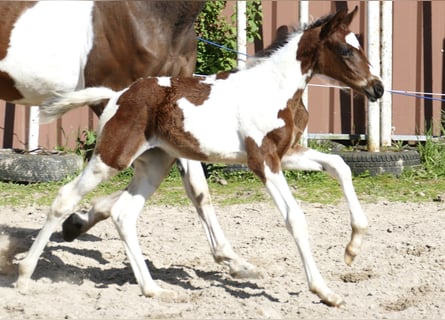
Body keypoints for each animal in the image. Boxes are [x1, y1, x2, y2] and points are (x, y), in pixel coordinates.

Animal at [19, 7, 384, 306]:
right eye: (345, 50)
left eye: (360, 45)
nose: (378, 88)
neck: (274, 90)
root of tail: (118, 96)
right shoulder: (262, 161)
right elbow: (295, 217)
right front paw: (324, 291)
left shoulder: (286, 154)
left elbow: (339, 166)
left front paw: (352, 249)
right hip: (111, 158)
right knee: (65, 198)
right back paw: (23, 273)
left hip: (154, 165)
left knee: (124, 213)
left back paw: (154, 290)